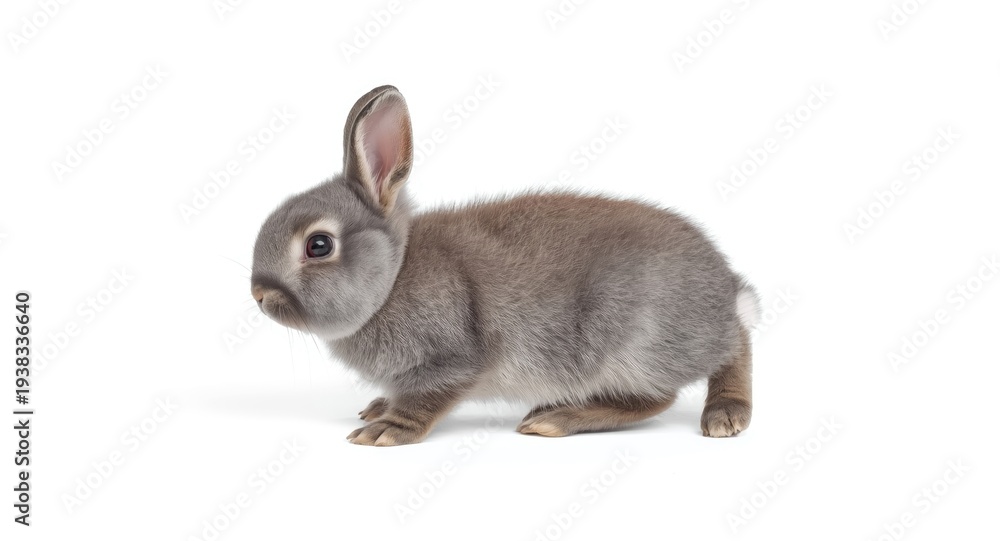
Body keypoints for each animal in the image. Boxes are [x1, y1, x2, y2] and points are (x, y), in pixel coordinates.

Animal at [250, 85, 761, 446]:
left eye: (318, 245)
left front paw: (386, 429)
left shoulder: (451, 359)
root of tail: (728, 293)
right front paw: (376, 409)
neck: (392, 278)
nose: (259, 295)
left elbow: (428, 398)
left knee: (685, 379)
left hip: (630, 342)